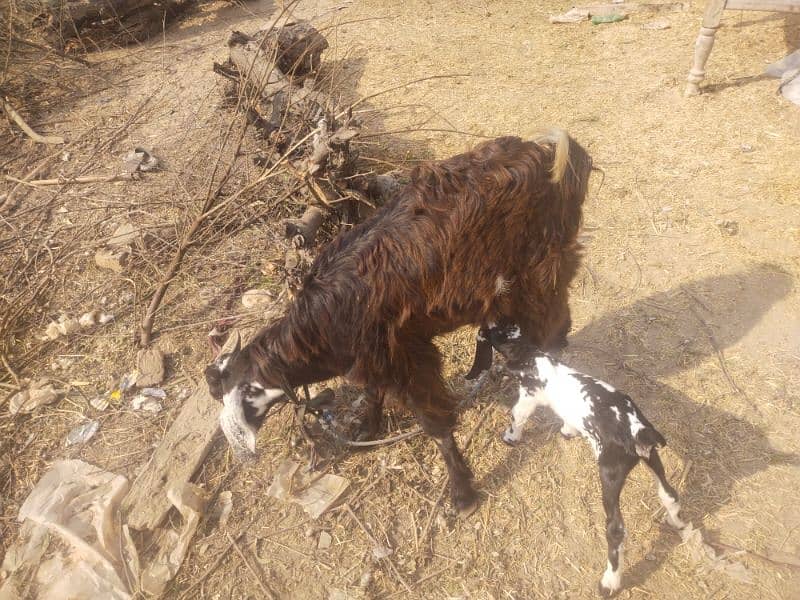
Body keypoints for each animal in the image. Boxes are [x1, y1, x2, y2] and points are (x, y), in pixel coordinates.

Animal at [206, 131, 592, 516]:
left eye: (242, 399)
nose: (244, 456)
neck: (323, 324)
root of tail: (548, 151)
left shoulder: (407, 357)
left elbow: (434, 424)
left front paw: (462, 493)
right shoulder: (377, 358)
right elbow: (373, 391)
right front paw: (368, 427)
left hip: (539, 270)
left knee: (553, 320)